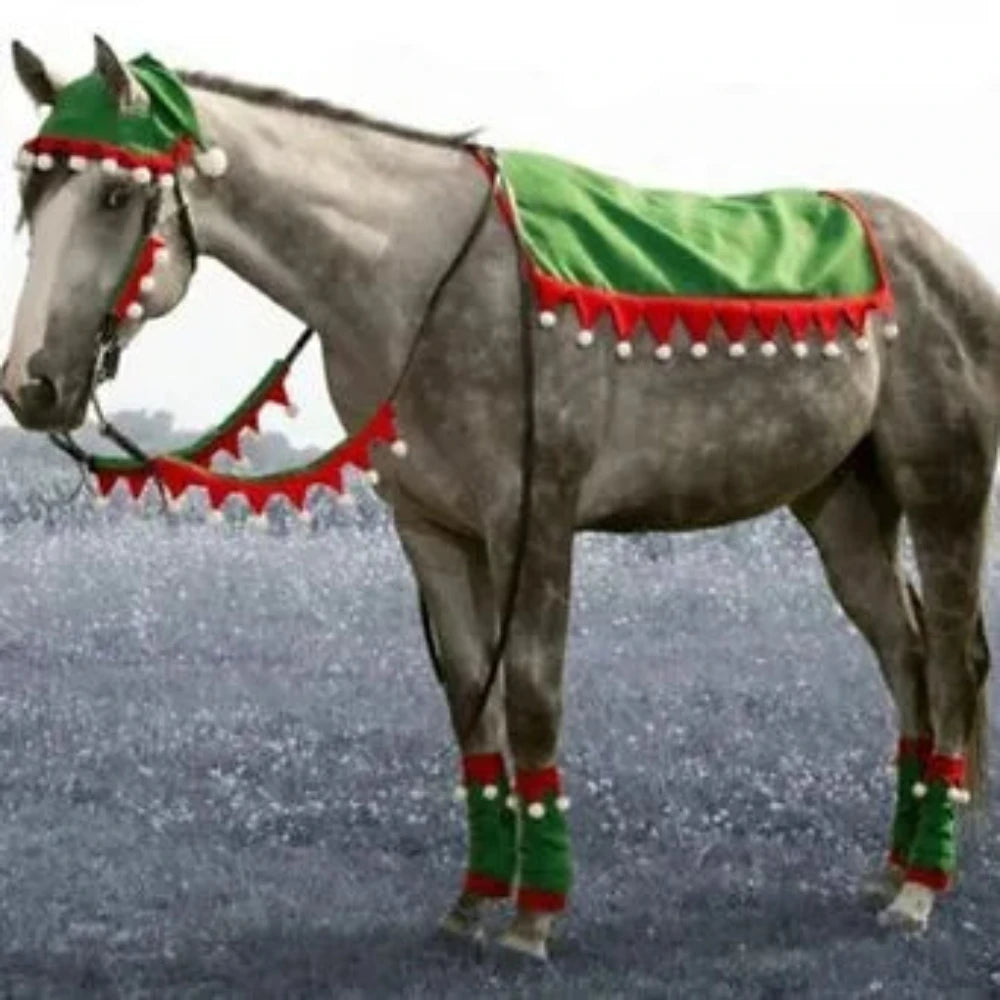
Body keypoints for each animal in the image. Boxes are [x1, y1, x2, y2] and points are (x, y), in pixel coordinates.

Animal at [3, 36, 996, 960]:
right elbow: (472, 711)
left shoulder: (535, 521)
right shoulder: (432, 531)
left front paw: (534, 919)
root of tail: (953, 265)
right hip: (843, 508)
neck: (422, 285)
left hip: (943, 496)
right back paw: (892, 869)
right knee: (905, 657)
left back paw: (923, 889)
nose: (33, 386)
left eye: (115, 197)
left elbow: (530, 700)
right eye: (34, 193)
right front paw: (474, 902)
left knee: (949, 662)